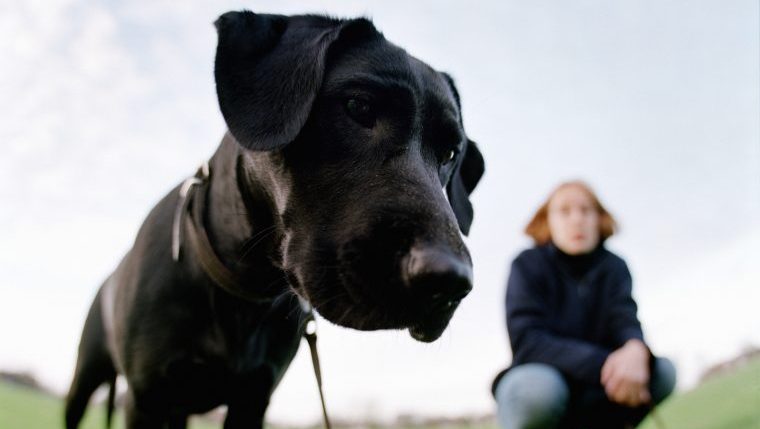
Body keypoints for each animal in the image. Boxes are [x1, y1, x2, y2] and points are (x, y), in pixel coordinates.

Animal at [63, 10, 480, 428]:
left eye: (450, 153)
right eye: (359, 106)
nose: (451, 282)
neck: (244, 289)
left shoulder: (254, 396)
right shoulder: (148, 397)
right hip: (85, 379)